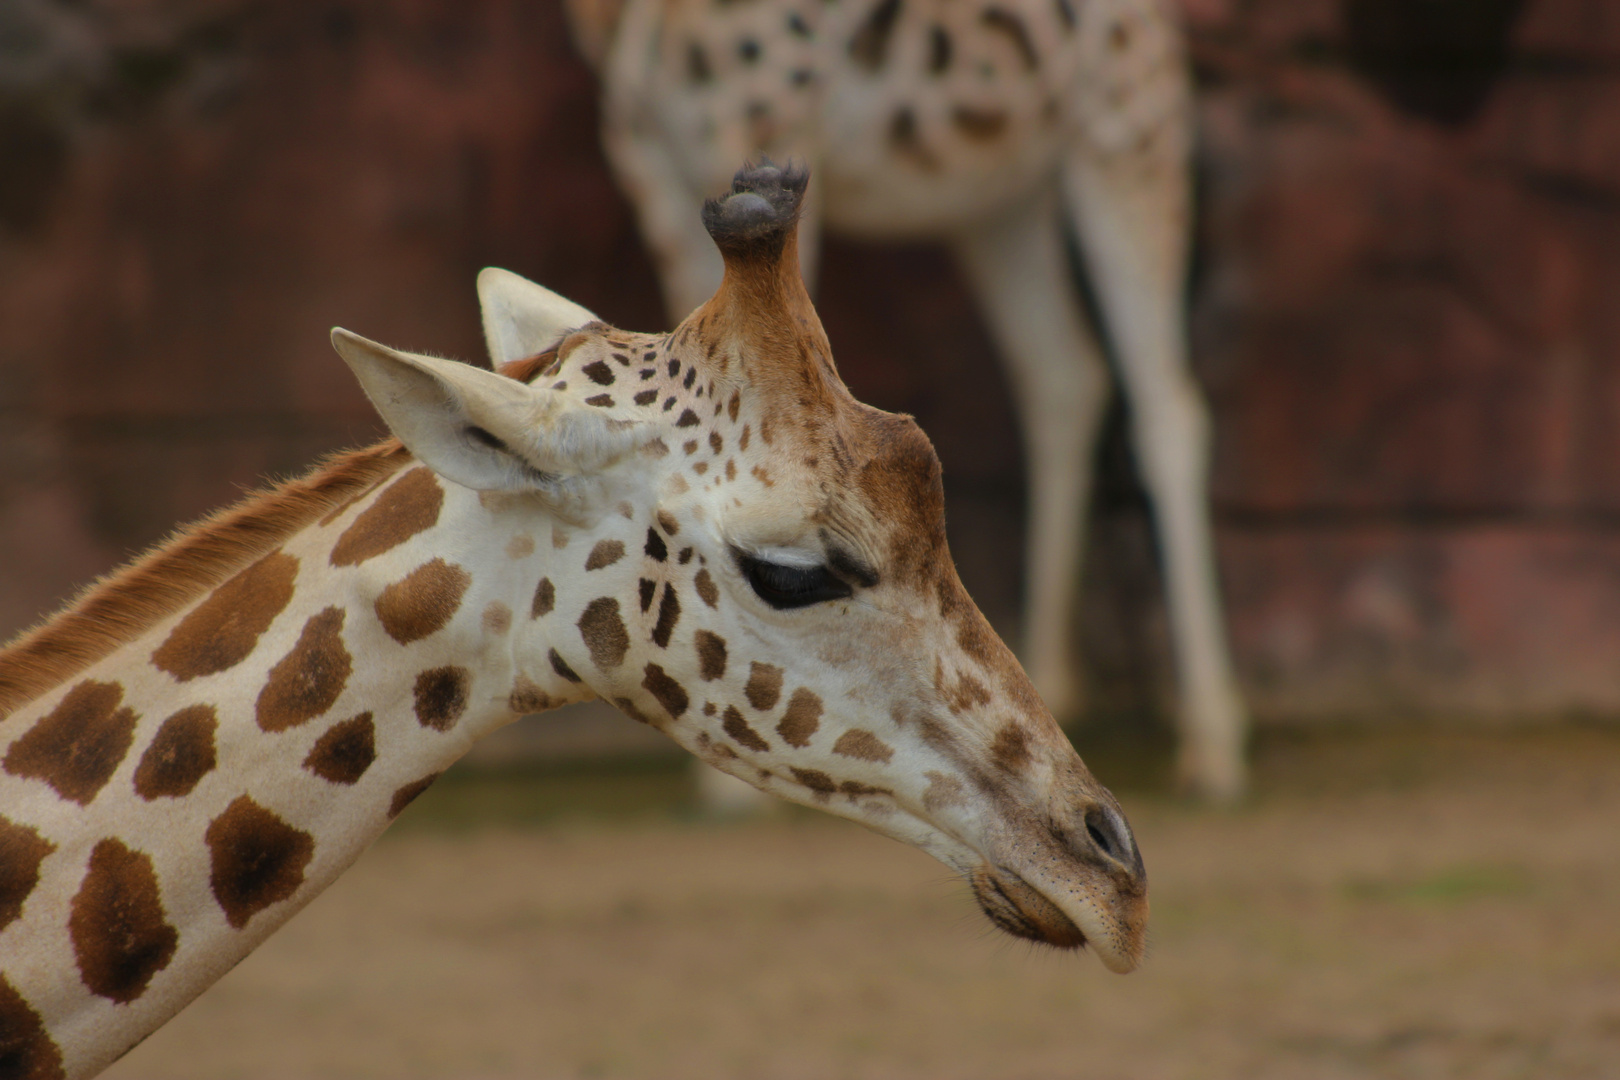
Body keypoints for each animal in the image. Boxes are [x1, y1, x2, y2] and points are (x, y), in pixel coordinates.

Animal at [573, 0, 1250, 803]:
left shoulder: (765, 123)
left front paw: (742, 777)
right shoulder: (643, 149)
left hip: (1124, 122)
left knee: (1165, 405)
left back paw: (1212, 746)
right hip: (1004, 196)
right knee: (1062, 373)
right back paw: (1053, 686)